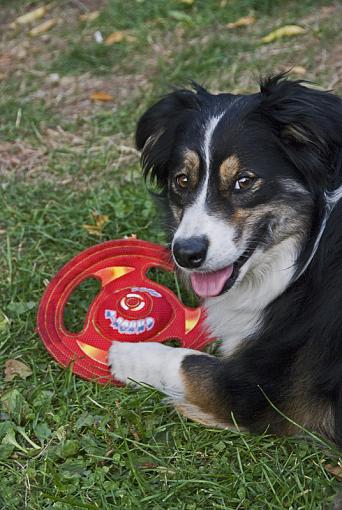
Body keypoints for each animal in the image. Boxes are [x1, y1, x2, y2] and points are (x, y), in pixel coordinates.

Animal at [108, 74, 342, 446]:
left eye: (244, 181)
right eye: (182, 180)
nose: (186, 253)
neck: (310, 252)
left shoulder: (263, 395)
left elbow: (189, 363)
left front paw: (126, 354)